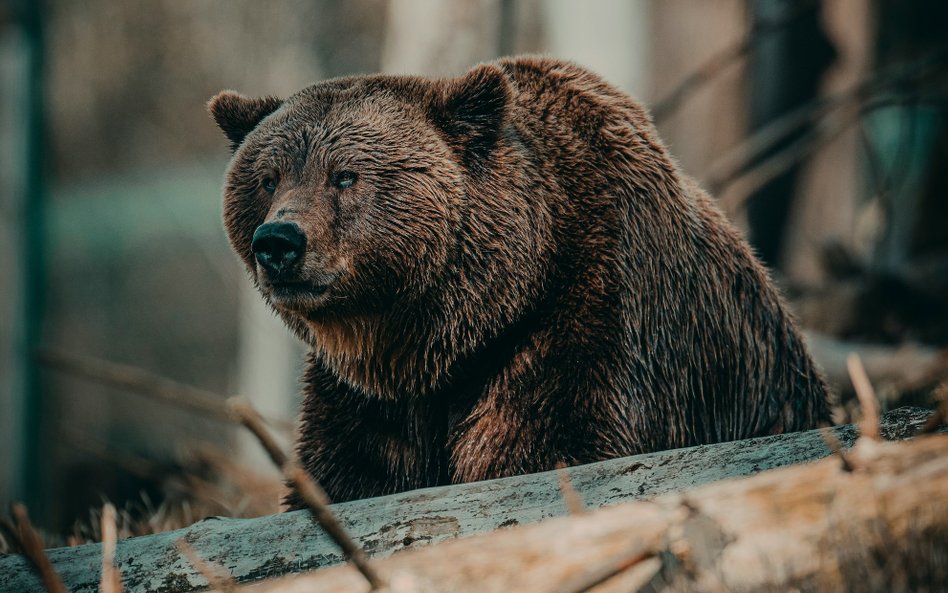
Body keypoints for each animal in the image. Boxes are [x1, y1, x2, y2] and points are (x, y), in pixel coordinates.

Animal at [209, 55, 828, 504]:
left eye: (345, 175)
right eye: (267, 178)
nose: (278, 242)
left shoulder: (591, 317)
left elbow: (546, 444)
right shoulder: (368, 398)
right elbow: (348, 473)